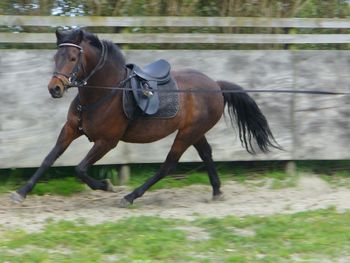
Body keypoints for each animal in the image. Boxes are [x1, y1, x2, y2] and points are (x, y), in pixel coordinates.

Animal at [10, 28, 278, 206]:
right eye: (56, 57)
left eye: (73, 58)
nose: (54, 89)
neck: (104, 92)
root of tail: (216, 85)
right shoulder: (70, 130)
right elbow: (48, 159)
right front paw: (21, 192)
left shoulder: (107, 141)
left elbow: (80, 169)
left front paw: (106, 186)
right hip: (194, 132)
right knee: (206, 154)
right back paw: (216, 191)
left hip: (186, 134)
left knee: (168, 165)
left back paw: (130, 196)